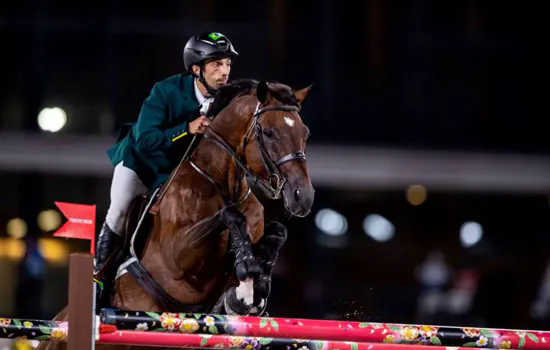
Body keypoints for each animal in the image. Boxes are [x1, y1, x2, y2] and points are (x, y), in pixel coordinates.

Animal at [36, 79, 316, 350]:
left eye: (305, 134)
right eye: (268, 132)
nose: (303, 197)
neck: (221, 184)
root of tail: (58, 324)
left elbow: (278, 232)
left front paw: (254, 287)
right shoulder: (176, 258)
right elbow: (230, 216)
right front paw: (246, 270)